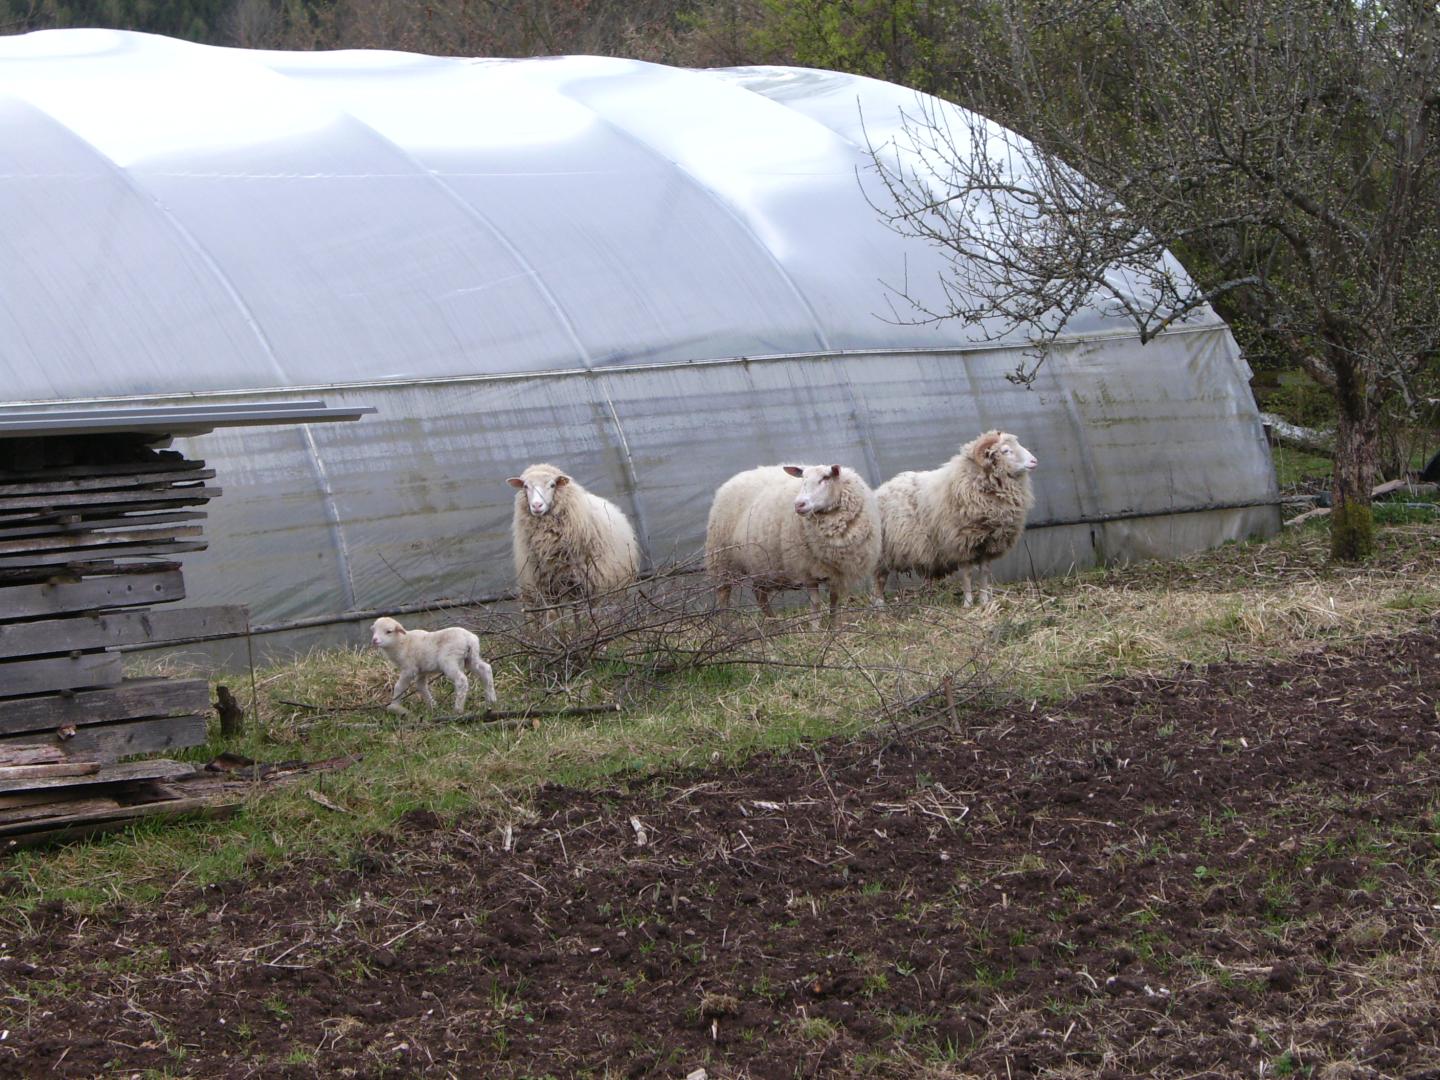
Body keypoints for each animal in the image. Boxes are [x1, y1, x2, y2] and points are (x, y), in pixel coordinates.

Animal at [507, 463, 641, 626]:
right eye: (525, 486)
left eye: (552, 485)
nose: (537, 505)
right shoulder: (547, 585)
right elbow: (554, 615)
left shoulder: (586, 583)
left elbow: (582, 613)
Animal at [705, 463, 883, 627]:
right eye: (803, 479)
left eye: (825, 478)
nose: (799, 504)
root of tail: (730, 481)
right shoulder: (807, 568)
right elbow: (816, 603)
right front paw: (815, 629)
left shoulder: (837, 571)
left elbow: (834, 600)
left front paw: (834, 626)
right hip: (721, 557)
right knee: (723, 594)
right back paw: (727, 627)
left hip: (758, 563)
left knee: (759, 594)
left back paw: (774, 623)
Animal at [874, 430, 1038, 607]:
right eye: (1006, 450)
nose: (1034, 461)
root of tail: (881, 489)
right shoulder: (961, 542)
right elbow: (967, 575)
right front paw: (968, 603)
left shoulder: (988, 544)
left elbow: (984, 573)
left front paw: (984, 601)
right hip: (884, 551)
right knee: (880, 577)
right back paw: (879, 604)